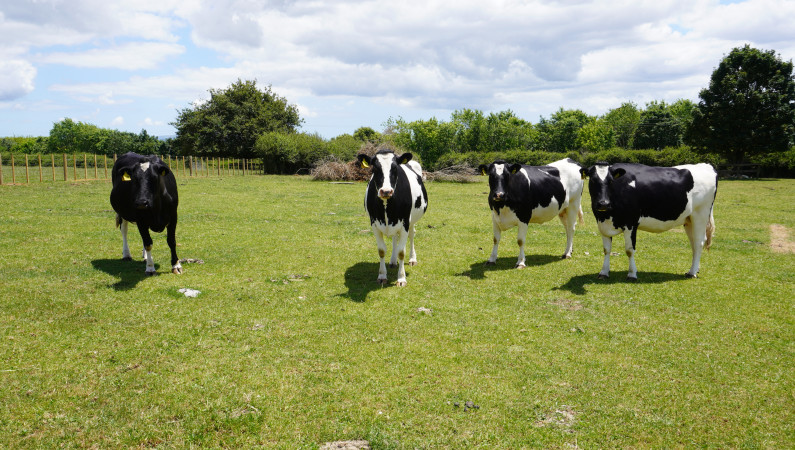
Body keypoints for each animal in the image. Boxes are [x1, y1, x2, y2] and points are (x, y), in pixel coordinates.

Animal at [358, 149, 430, 286]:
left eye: (395, 168)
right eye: (374, 168)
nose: (386, 191)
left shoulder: (405, 223)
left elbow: (402, 252)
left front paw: (401, 278)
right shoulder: (374, 224)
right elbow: (381, 250)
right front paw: (382, 275)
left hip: (411, 221)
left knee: (412, 235)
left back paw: (412, 259)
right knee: (395, 238)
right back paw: (392, 261)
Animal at [580, 162, 720, 282]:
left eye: (610, 181)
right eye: (592, 180)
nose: (603, 203)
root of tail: (706, 165)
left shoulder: (631, 223)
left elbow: (629, 250)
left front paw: (632, 274)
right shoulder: (603, 224)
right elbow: (606, 250)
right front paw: (604, 272)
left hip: (700, 214)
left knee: (699, 242)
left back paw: (692, 272)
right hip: (689, 219)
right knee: (694, 243)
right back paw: (695, 269)